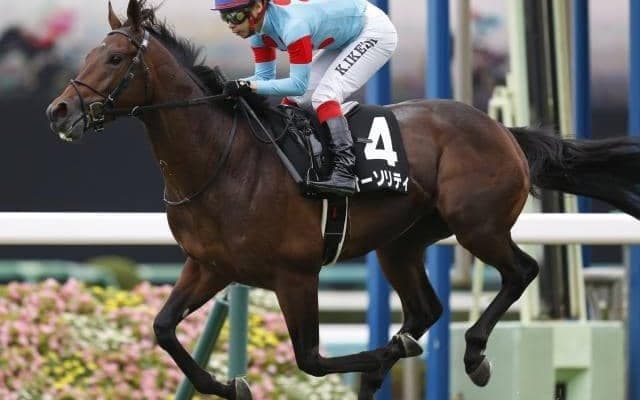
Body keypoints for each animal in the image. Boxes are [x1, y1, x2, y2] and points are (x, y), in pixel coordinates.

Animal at [45, 1, 640, 399]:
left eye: (116, 58)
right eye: (91, 53)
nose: (58, 111)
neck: (225, 160)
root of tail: (503, 131)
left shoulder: (295, 274)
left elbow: (309, 358)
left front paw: (389, 353)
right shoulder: (209, 265)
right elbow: (164, 329)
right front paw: (229, 385)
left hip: (478, 224)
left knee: (520, 271)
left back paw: (471, 355)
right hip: (401, 244)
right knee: (426, 307)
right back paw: (390, 366)